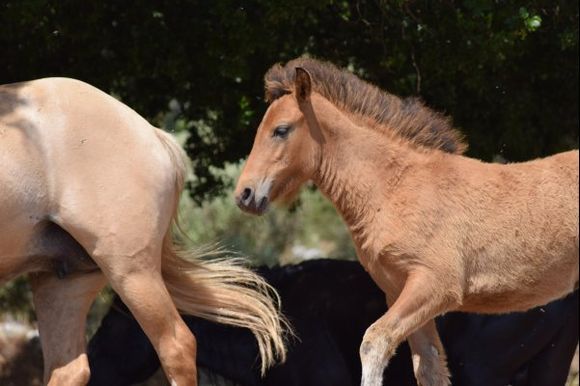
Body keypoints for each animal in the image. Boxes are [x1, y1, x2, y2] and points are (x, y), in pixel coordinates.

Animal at [233, 57, 576, 386]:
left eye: (281, 130)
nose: (244, 194)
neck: (396, 188)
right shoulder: (400, 292)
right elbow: (429, 368)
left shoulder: (435, 286)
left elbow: (375, 343)